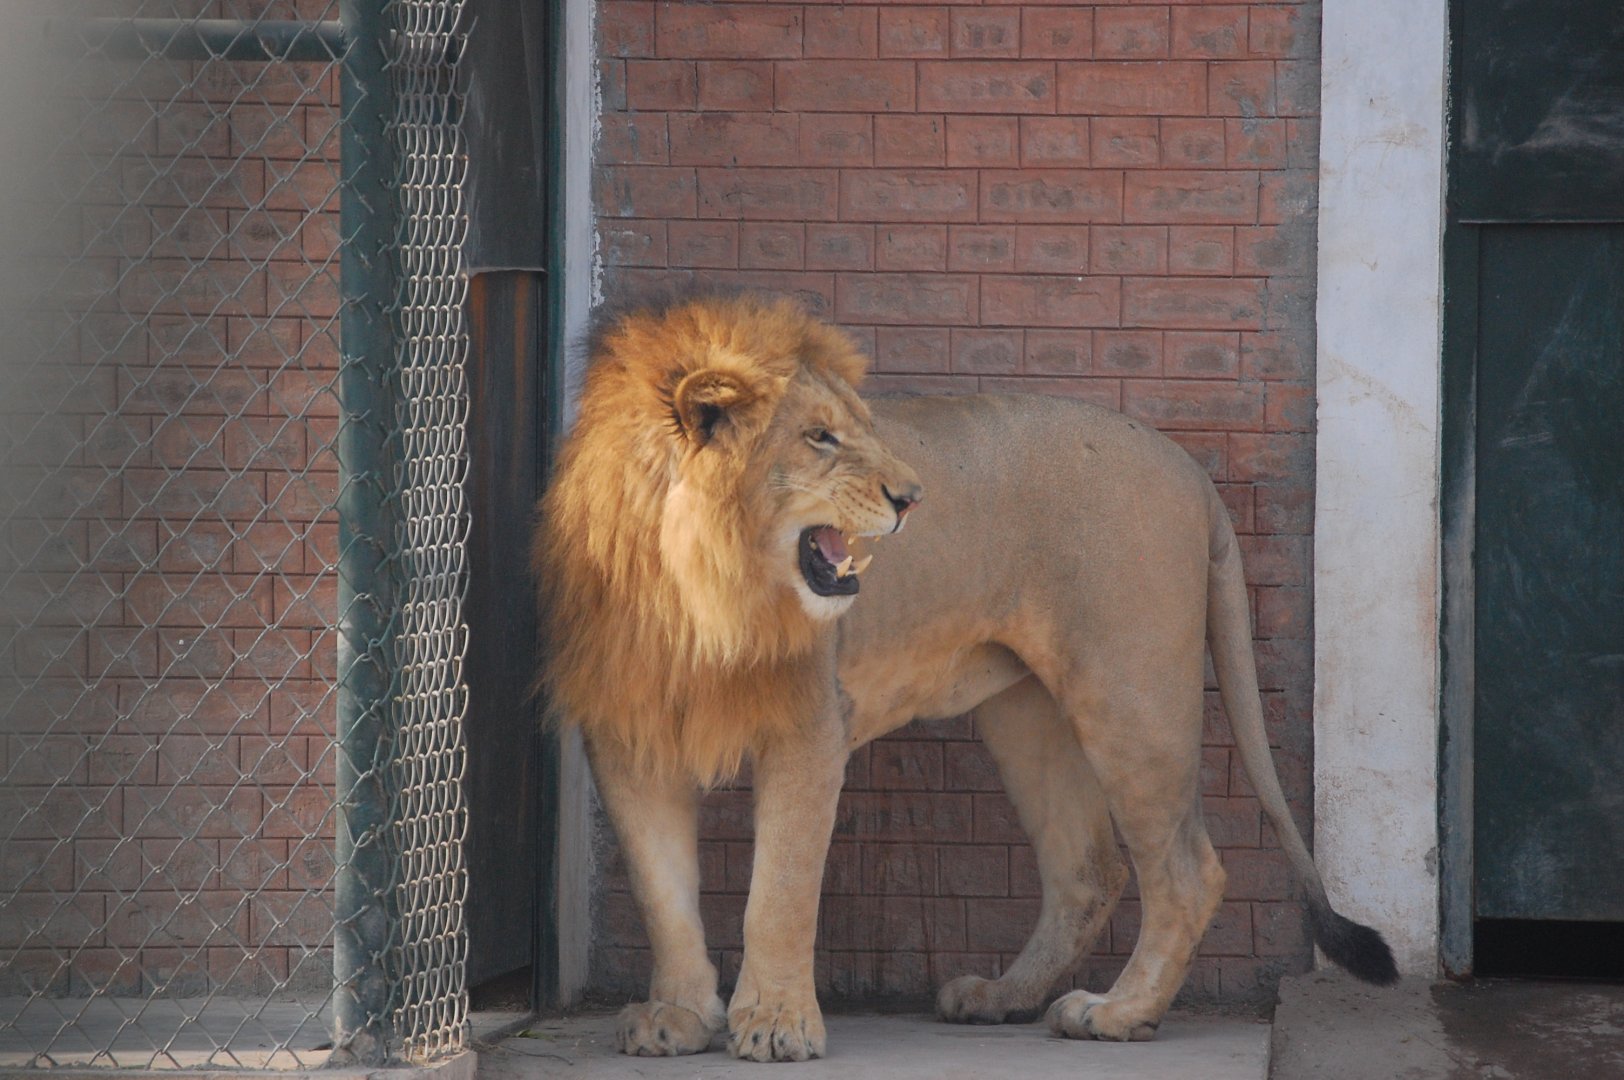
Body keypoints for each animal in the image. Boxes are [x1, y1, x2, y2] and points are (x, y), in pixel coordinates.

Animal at [533, 292, 1397, 1063]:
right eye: (819, 438)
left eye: (861, 429)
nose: (912, 498)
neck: (694, 586)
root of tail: (1191, 469)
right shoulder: (625, 738)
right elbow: (661, 891)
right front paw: (677, 1017)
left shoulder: (811, 726)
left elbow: (779, 889)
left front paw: (777, 1025)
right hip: (1026, 714)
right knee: (1089, 869)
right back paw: (1003, 997)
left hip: (1131, 696)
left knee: (1187, 872)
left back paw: (1118, 1013)